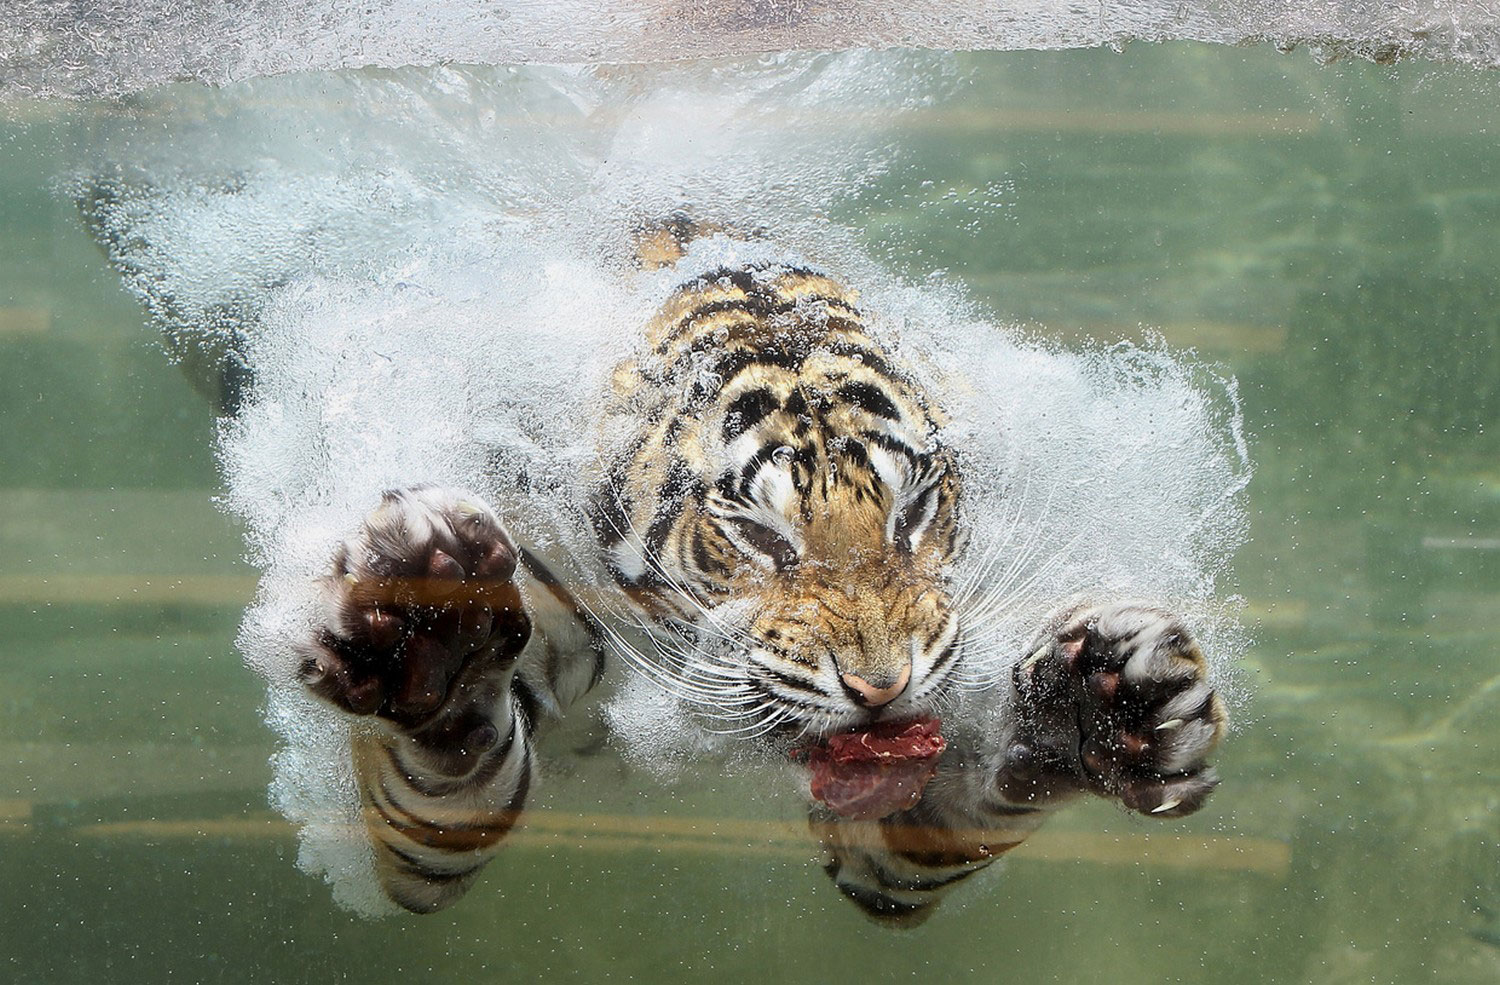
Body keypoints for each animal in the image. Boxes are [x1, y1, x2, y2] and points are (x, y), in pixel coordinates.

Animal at [283, 218, 1230, 917]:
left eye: (914, 512)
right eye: (755, 534)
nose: (882, 687)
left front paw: (1101, 701)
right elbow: (449, 786)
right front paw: (436, 638)